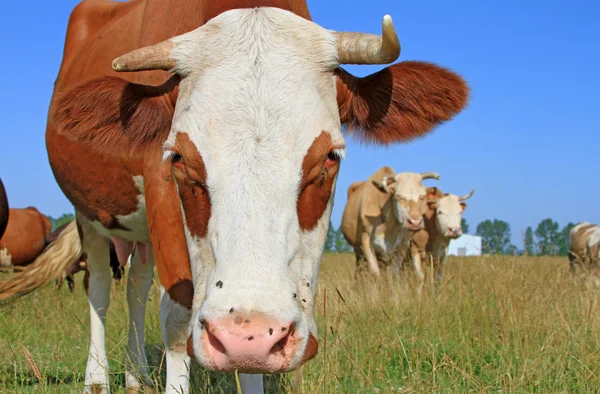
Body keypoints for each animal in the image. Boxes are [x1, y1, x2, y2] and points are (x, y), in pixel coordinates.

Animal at [5, 1, 468, 392]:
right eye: (178, 158)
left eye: (330, 157)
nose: (248, 336)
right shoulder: (160, 194)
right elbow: (177, 321)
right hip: (90, 214)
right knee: (99, 287)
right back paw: (98, 380)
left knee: (136, 286)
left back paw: (137, 377)